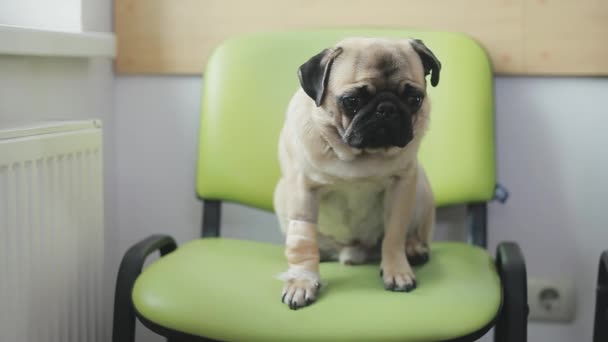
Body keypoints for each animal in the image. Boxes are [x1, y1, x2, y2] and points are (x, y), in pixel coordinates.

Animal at [274, 37, 440, 310]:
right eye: (351, 101)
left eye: (415, 99)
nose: (387, 108)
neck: (360, 155)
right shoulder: (301, 190)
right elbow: (302, 243)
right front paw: (302, 281)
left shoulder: (402, 185)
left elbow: (394, 235)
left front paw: (397, 270)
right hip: (282, 195)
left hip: (421, 188)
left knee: (416, 232)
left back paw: (414, 248)